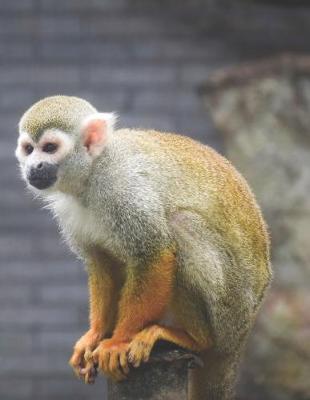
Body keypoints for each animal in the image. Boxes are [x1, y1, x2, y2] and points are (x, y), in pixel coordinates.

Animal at [15, 96, 272, 400]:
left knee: (181, 224)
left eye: (50, 148)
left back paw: (193, 338)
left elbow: (154, 254)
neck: (92, 172)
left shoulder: (124, 188)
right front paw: (96, 334)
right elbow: (102, 264)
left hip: (229, 312)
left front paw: (118, 342)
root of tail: (242, 336)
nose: (34, 167)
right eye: (28, 149)